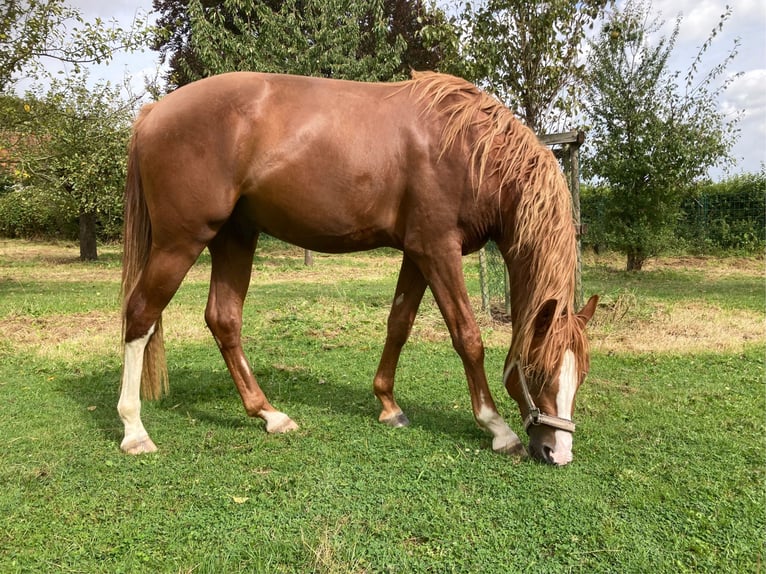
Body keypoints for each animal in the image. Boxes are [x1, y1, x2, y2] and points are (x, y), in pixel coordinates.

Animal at [120, 72, 600, 468]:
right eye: (537, 371)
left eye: (582, 374)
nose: (558, 453)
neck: (469, 150)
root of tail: (153, 114)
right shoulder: (438, 250)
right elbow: (467, 336)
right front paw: (497, 429)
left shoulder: (417, 253)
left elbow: (399, 323)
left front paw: (388, 405)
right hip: (181, 241)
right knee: (140, 315)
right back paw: (134, 431)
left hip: (234, 236)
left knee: (223, 319)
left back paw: (270, 414)